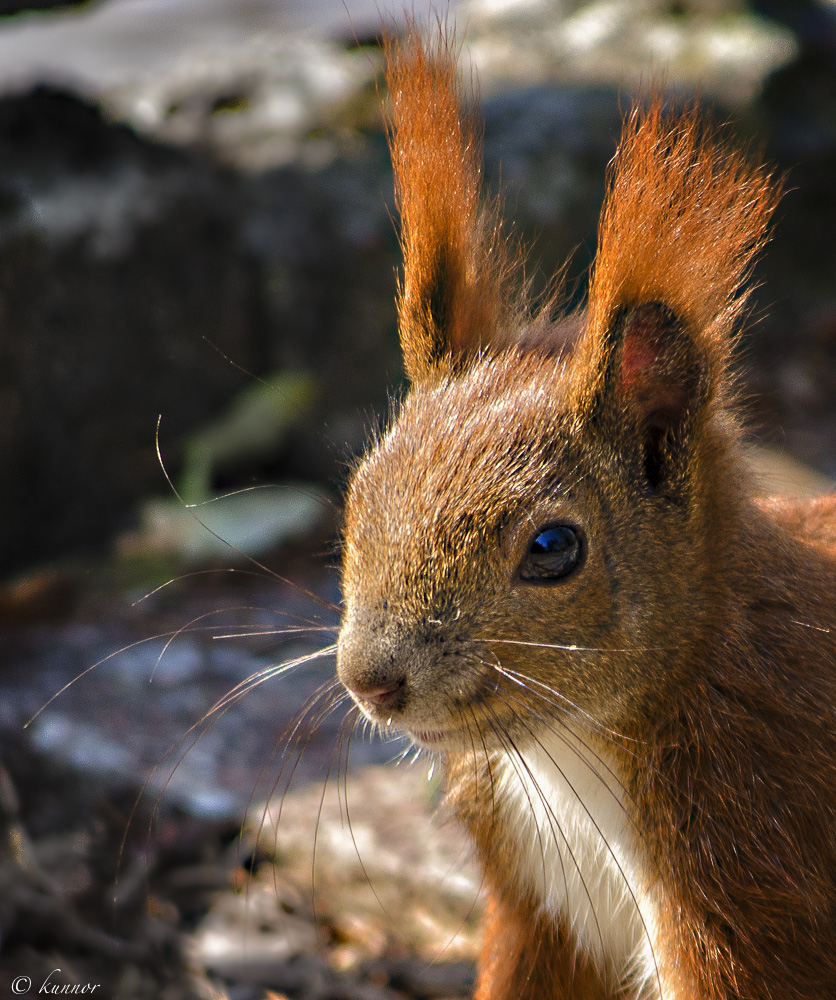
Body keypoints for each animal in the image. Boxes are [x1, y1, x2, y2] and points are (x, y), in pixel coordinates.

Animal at [334, 23, 836, 1000]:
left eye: (553, 547)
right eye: (359, 493)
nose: (369, 679)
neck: (572, 753)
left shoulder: (756, 867)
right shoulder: (537, 905)